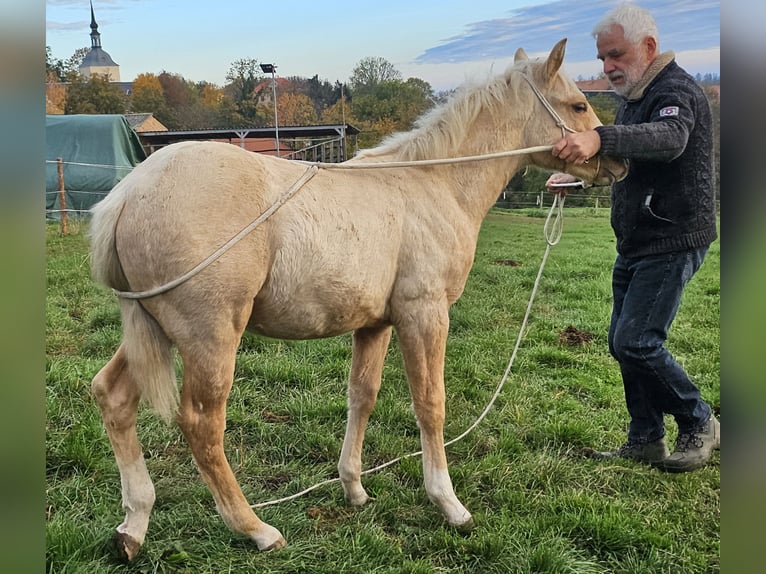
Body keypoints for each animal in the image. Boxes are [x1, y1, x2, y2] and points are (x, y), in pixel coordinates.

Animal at [88, 38, 627, 559]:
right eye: (579, 104)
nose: (617, 162)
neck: (433, 183)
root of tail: (129, 193)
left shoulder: (375, 324)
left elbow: (361, 397)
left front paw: (353, 487)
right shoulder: (425, 314)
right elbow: (430, 403)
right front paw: (449, 504)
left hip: (153, 330)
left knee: (112, 396)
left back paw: (134, 525)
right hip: (210, 336)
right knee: (202, 424)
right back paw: (256, 529)